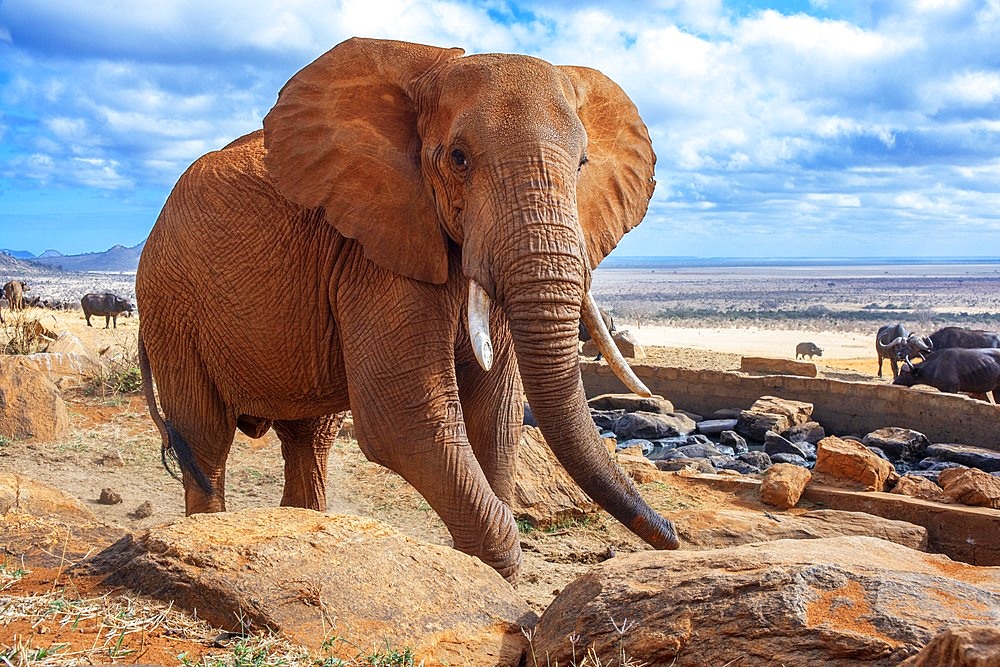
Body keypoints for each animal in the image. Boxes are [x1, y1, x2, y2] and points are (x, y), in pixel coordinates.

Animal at [135, 36, 680, 580]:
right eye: (458, 158)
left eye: (583, 164)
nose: (672, 537)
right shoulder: (373, 254)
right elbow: (404, 420)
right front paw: (489, 572)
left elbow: (496, 414)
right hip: (170, 303)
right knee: (205, 438)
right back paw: (204, 530)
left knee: (309, 437)